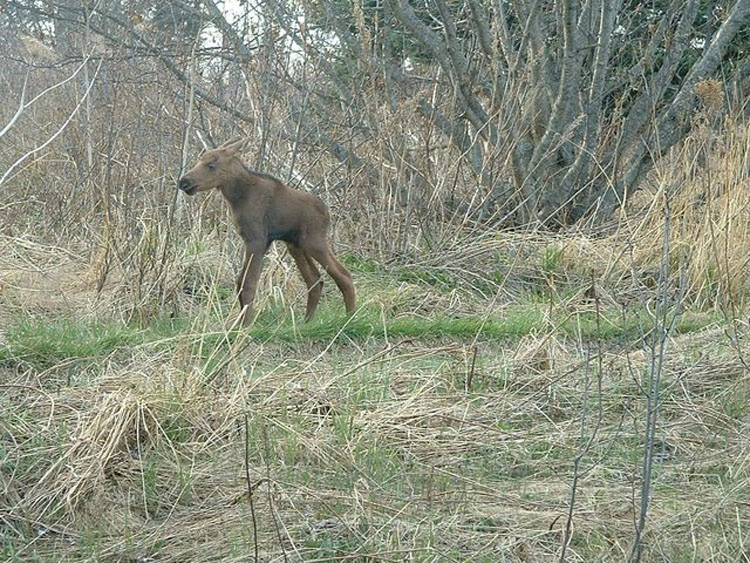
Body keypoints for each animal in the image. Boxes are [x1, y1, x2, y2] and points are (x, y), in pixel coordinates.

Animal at [182, 138, 358, 326]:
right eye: (200, 160)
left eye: (211, 164)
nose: (183, 181)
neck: (236, 196)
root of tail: (327, 212)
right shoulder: (256, 241)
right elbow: (240, 281)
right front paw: (240, 322)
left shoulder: (257, 240)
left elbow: (248, 283)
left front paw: (246, 325)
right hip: (296, 245)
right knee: (315, 279)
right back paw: (307, 322)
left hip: (314, 242)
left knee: (343, 275)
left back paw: (350, 319)